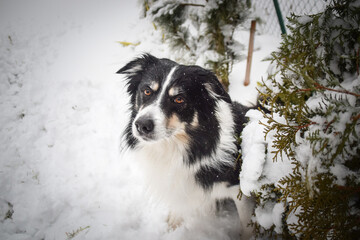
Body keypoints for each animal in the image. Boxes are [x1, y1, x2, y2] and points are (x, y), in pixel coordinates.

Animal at [118, 53, 253, 237]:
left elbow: (247, 225)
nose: (142, 125)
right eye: (147, 91)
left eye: (179, 99)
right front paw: (171, 228)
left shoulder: (239, 189)